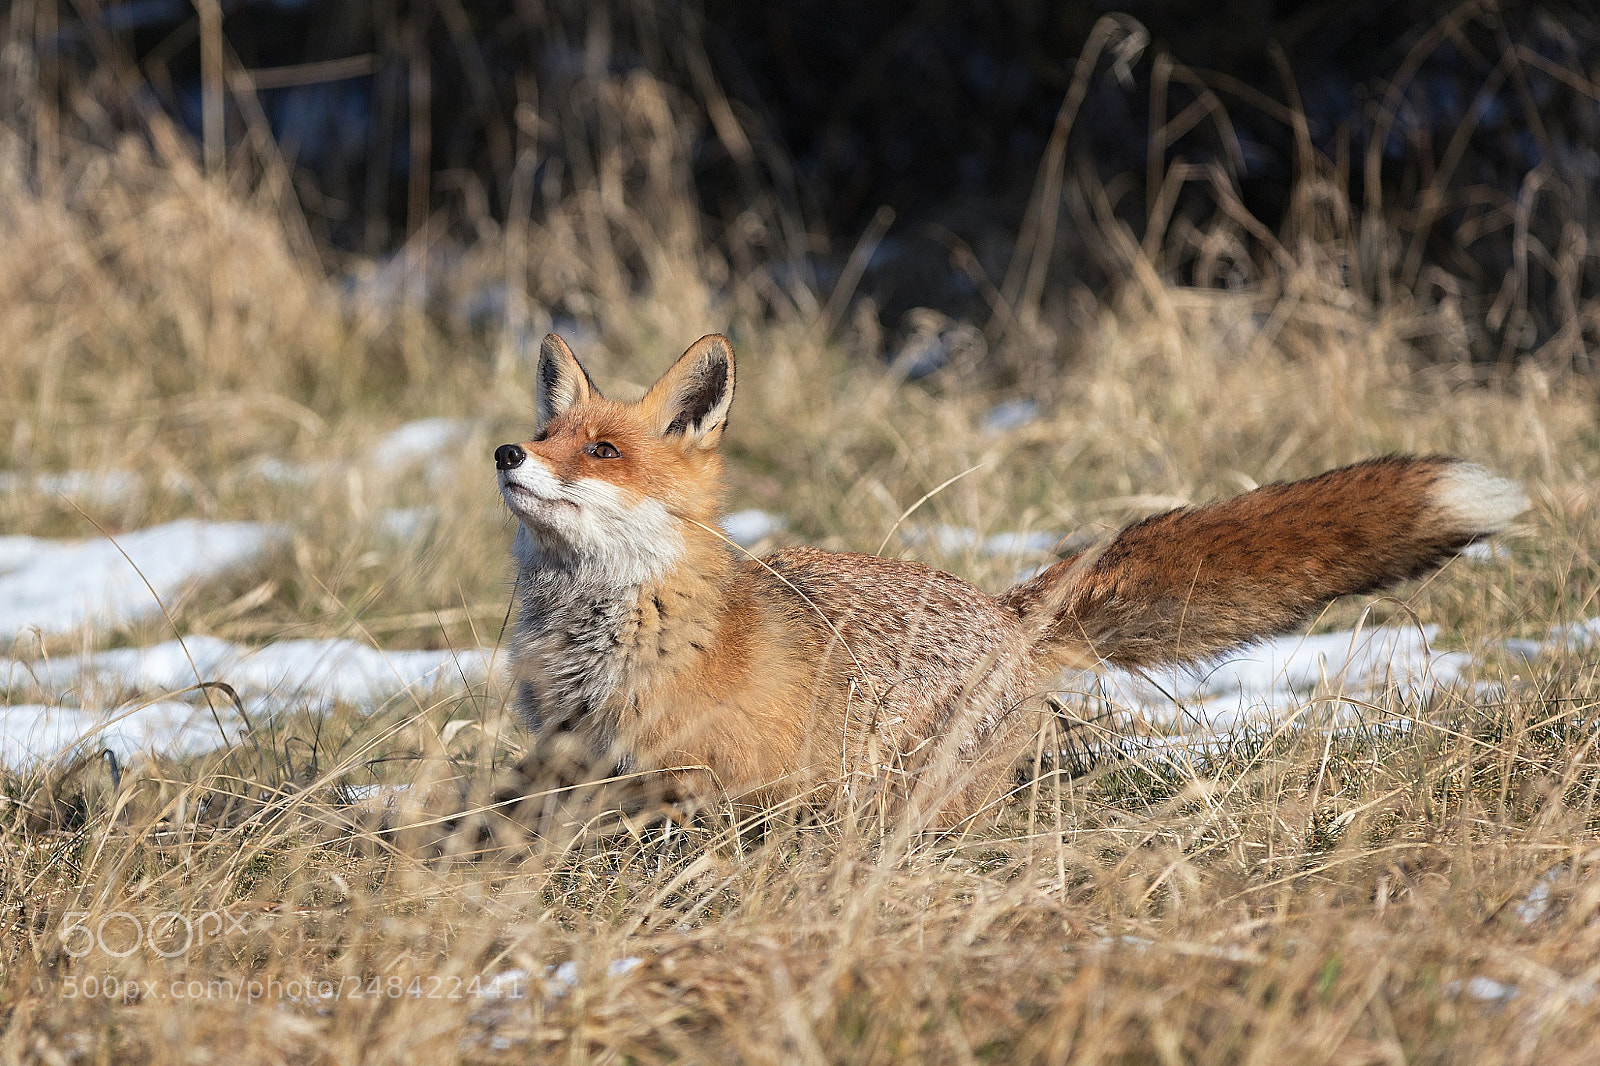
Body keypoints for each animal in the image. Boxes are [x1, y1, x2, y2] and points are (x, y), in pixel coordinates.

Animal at [493, 332, 1526, 827]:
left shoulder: (703, 784)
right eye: (545, 433)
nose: (506, 453)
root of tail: (1002, 609)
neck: (604, 634)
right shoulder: (571, 764)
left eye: (602, 450)